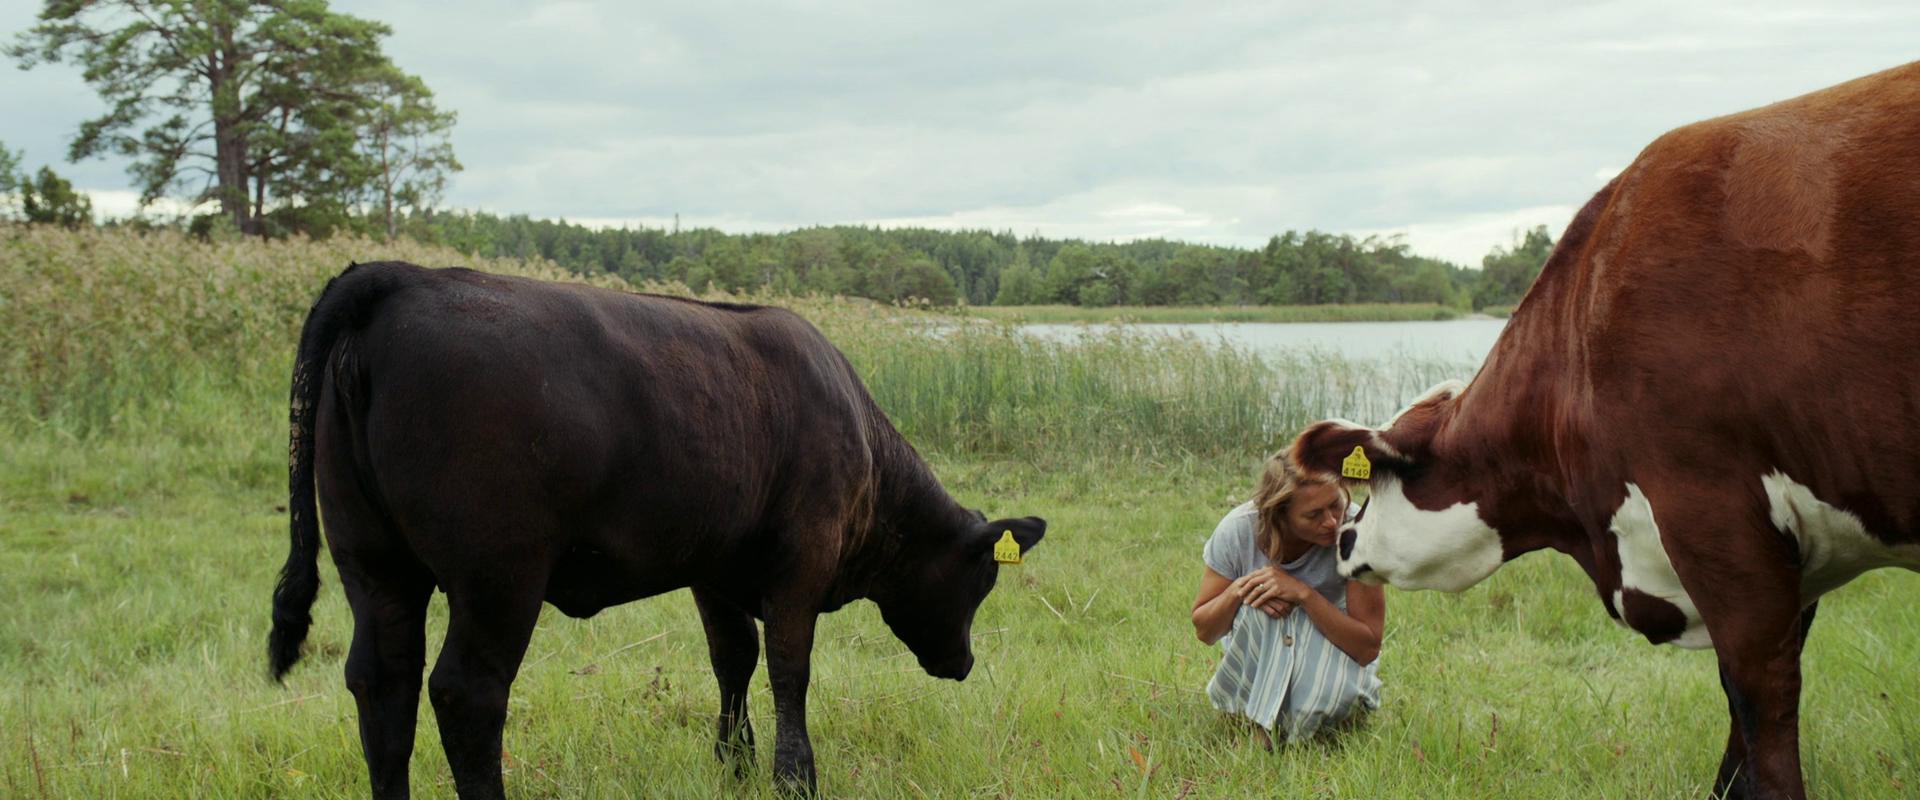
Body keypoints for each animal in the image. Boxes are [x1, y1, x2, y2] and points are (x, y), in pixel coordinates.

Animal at [266, 258, 1052, 794]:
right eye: (982, 581)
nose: (964, 664)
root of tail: (400, 278)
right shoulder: (803, 557)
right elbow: (788, 667)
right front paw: (794, 775)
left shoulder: (715, 568)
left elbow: (733, 658)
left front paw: (732, 762)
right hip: (497, 574)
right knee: (467, 692)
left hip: (373, 563)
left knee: (382, 683)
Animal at [1290, 63, 1920, 798]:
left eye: (1378, 481)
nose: (1344, 538)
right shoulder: (1790, 554)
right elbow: (1742, 722)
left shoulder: (1714, 515)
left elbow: (1759, 699)